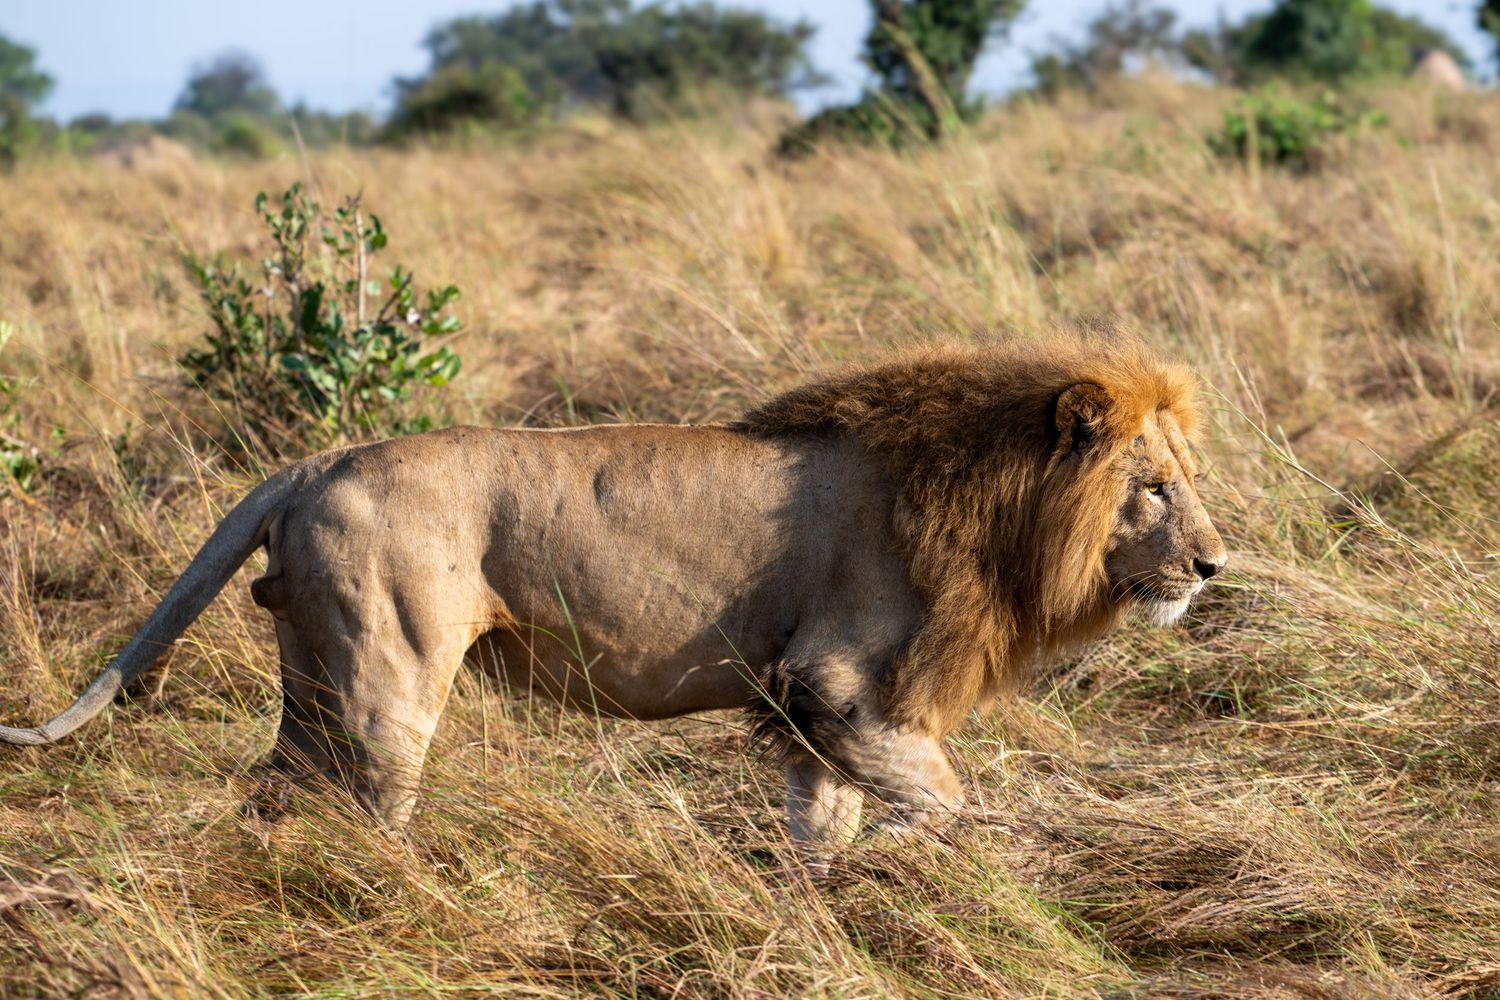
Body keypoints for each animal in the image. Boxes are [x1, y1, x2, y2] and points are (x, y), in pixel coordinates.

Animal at [1, 337, 1226, 845]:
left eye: (1185, 480)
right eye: (1153, 489)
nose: (1215, 565)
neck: (995, 510)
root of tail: (315, 461)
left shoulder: (810, 712)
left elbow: (820, 826)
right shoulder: (835, 685)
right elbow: (940, 803)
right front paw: (909, 861)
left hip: (313, 674)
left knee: (272, 795)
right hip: (389, 679)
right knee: (372, 805)